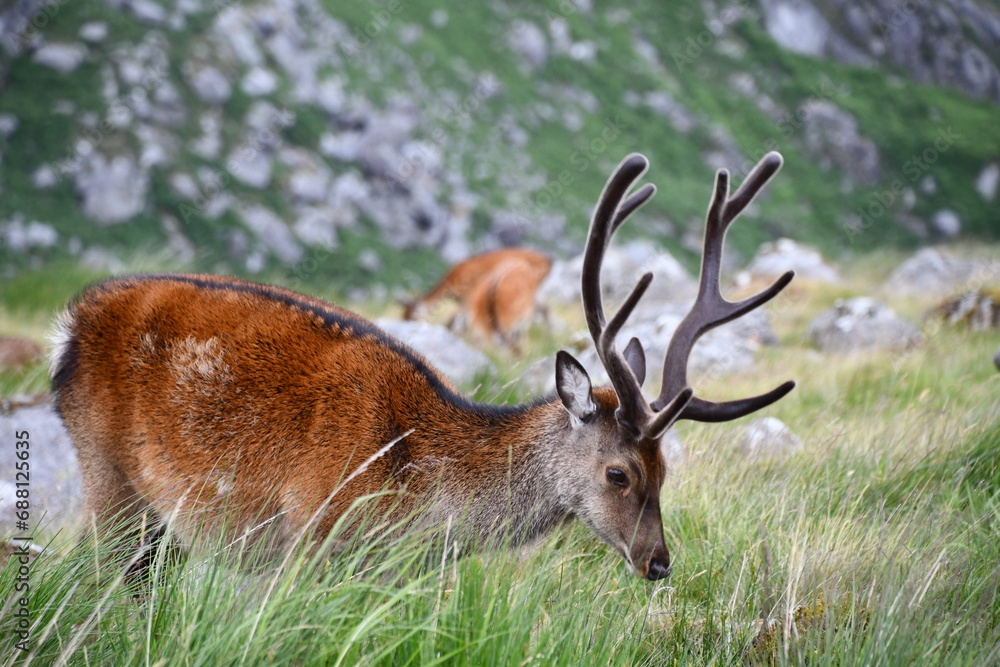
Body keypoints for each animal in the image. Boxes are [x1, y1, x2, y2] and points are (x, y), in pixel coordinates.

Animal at [401, 248, 552, 352]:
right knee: (543, 309)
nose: (408, 326)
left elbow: (455, 320)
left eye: (412, 317)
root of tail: (549, 262)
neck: (452, 285)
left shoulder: (468, 296)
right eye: (403, 316)